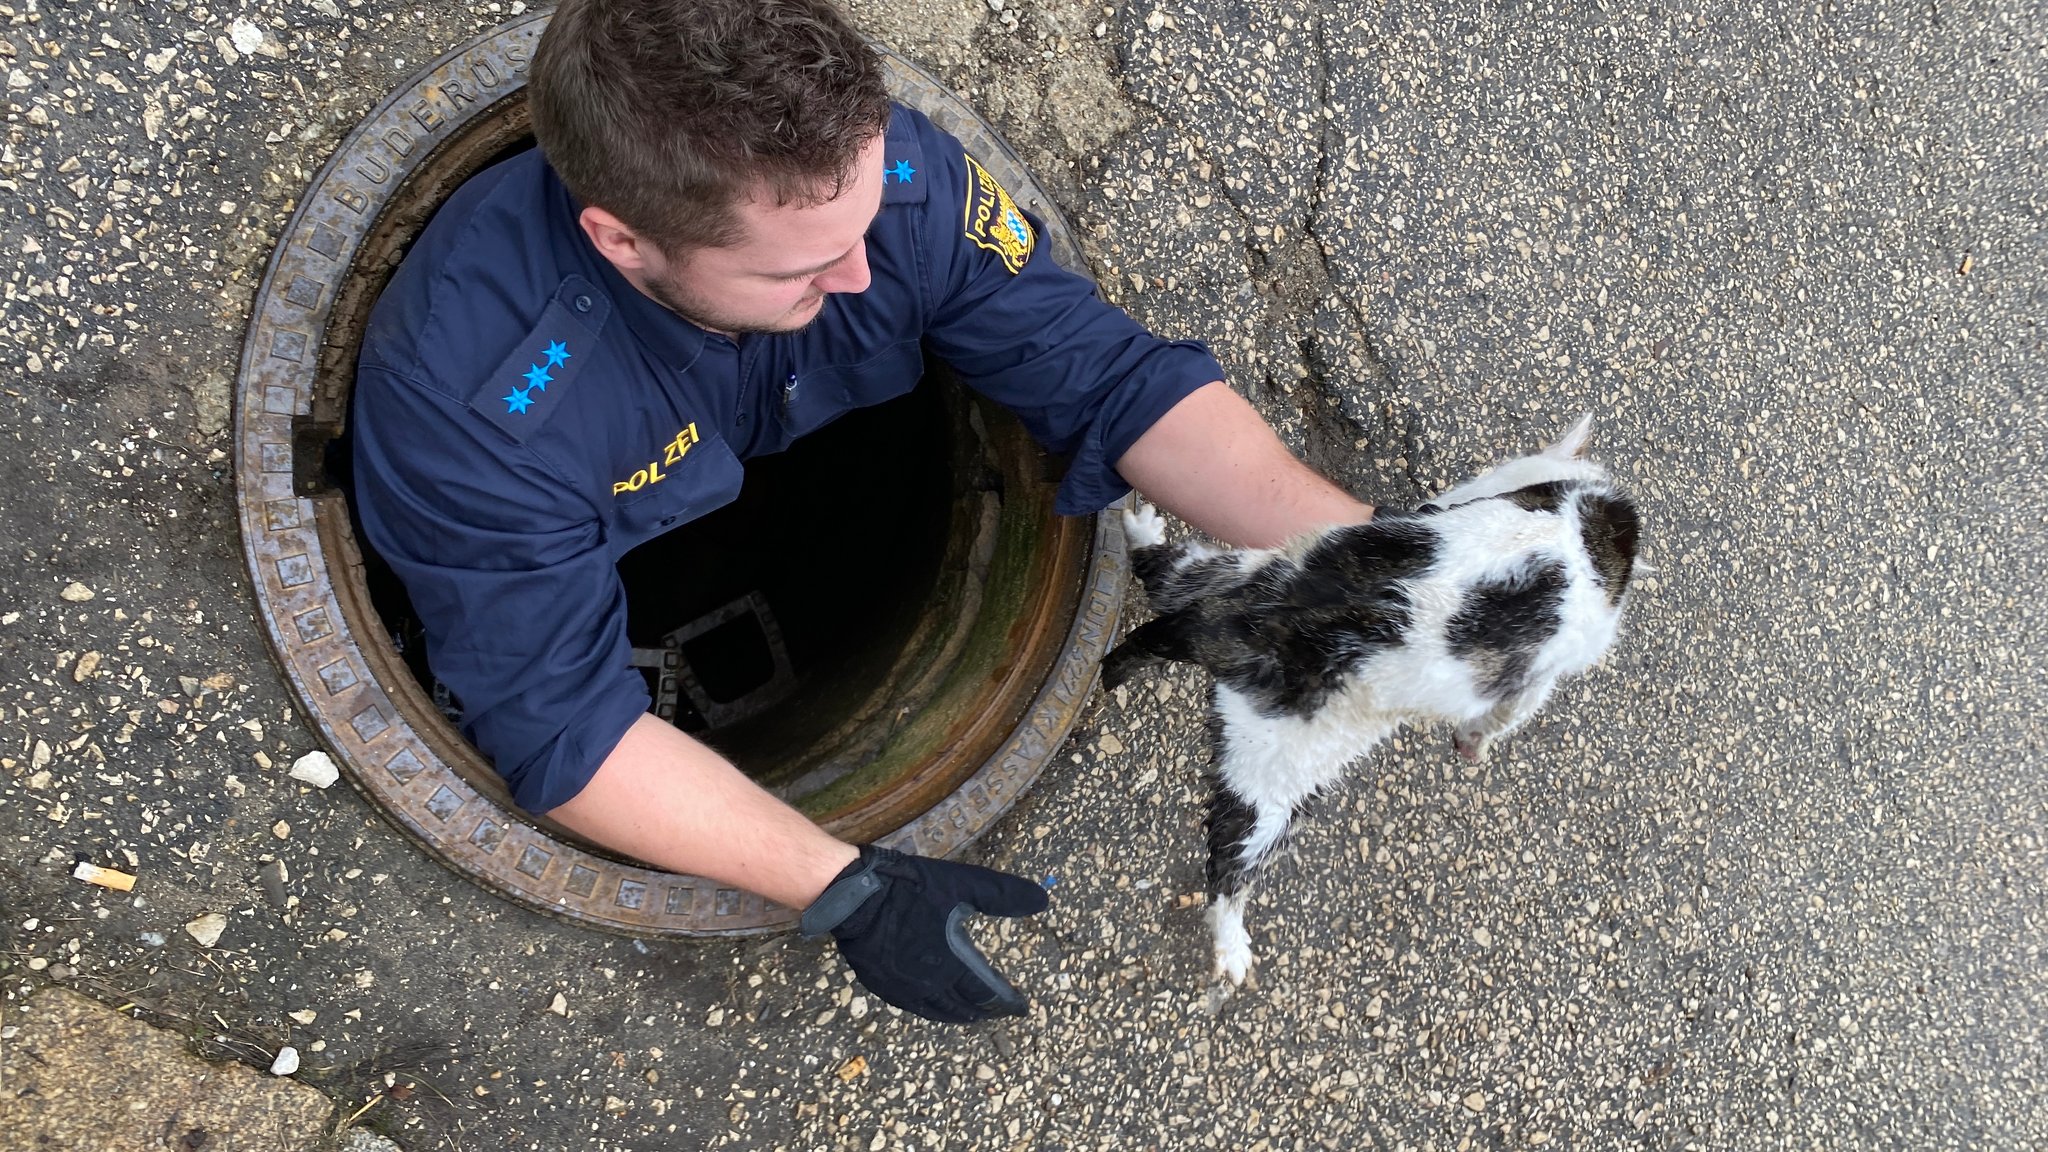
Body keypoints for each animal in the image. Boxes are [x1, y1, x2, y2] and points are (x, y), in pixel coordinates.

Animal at [1105, 412, 1646, 975]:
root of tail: (1269, 623)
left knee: (1164, 575)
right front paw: (1477, 740)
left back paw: (1141, 532)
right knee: (1228, 870)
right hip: (1284, 780)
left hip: (1240, 590)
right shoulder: (1554, 664)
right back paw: (1233, 949)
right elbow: (1511, 711)